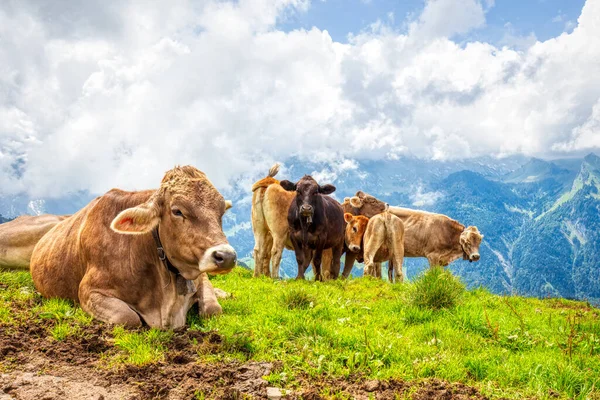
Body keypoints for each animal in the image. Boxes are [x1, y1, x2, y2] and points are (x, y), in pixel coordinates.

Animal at [29, 166, 237, 328]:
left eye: (221, 213)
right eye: (177, 211)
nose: (226, 256)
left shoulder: (201, 278)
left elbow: (213, 309)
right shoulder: (89, 290)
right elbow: (128, 318)